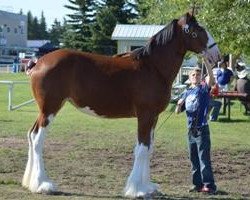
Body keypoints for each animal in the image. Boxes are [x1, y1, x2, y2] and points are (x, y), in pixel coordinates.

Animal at [22, 11, 221, 198]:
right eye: (197, 30)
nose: (217, 55)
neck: (153, 67)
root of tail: (38, 62)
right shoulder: (145, 116)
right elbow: (141, 149)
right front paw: (137, 190)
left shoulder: (154, 117)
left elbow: (149, 149)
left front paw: (148, 187)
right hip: (50, 109)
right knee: (38, 139)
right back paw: (43, 184)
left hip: (44, 110)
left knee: (31, 135)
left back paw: (30, 183)